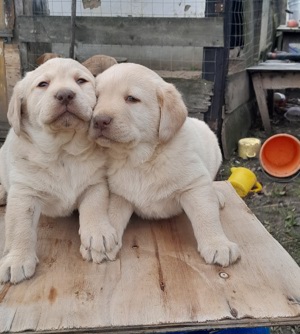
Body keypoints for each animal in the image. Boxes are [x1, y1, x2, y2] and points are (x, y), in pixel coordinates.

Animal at [0, 58, 117, 284]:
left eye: (81, 81)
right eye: (43, 84)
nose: (65, 94)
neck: (62, 152)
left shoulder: (95, 183)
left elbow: (95, 206)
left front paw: (98, 235)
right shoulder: (23, 192)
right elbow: (20, 226)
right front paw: (17, 259)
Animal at [89, 62, 241, 266]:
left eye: (131, 99)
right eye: (97, 97)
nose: (98, 120)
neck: (140, 159)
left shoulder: (195, 185)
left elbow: (206, 215)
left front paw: (218, 244)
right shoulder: (119, 194)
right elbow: (112, 214)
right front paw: (103, 240)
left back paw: (216, 194)